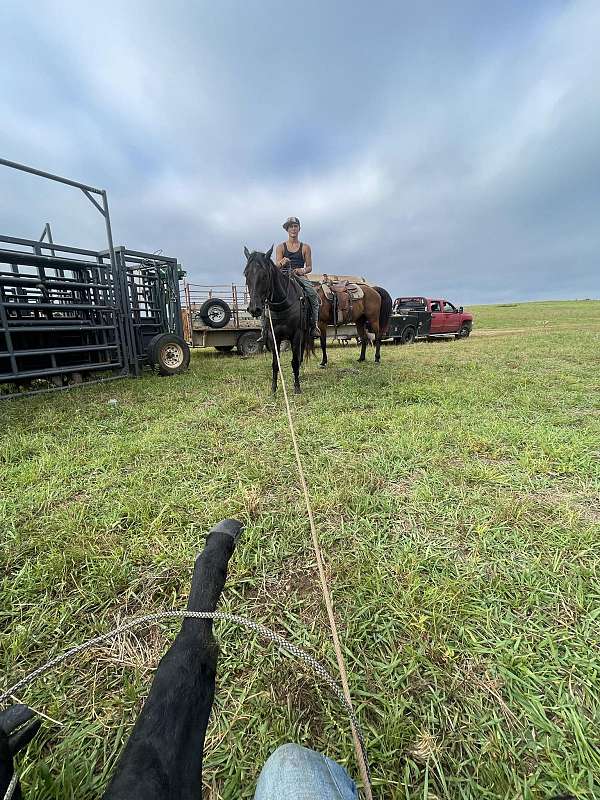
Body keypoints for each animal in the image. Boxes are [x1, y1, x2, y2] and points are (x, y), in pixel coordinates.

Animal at [243, 244, 314, 394]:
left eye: (265, 275)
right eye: (246, 273)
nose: (254, 309)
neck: (283, 303)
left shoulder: (297, 335)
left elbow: (295, 361)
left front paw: (297, 387)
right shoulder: (273, 336)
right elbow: (275, 364)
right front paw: (273, 389)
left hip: (304, 334)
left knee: (300, 356)